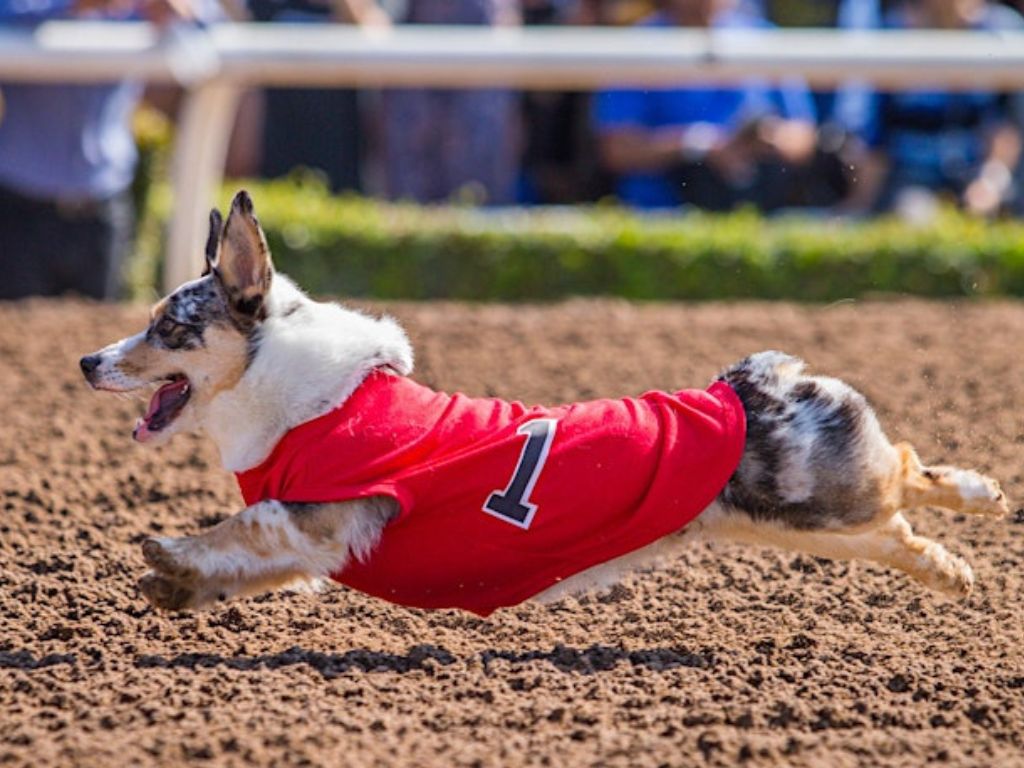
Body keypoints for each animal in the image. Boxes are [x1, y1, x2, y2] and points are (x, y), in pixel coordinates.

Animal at [77, 191, 1007, 614]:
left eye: (166, 325)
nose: (87, 360)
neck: (293, 391)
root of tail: (756, 382)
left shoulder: (320, 514)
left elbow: (237, 529)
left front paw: (166, 554)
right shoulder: (317, 546)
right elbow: (246, 568)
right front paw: (174, 590)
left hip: (822, 502)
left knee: (905, 473)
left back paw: (983, 499)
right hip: (805, 525)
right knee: (902, 526)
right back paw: (958, 566)